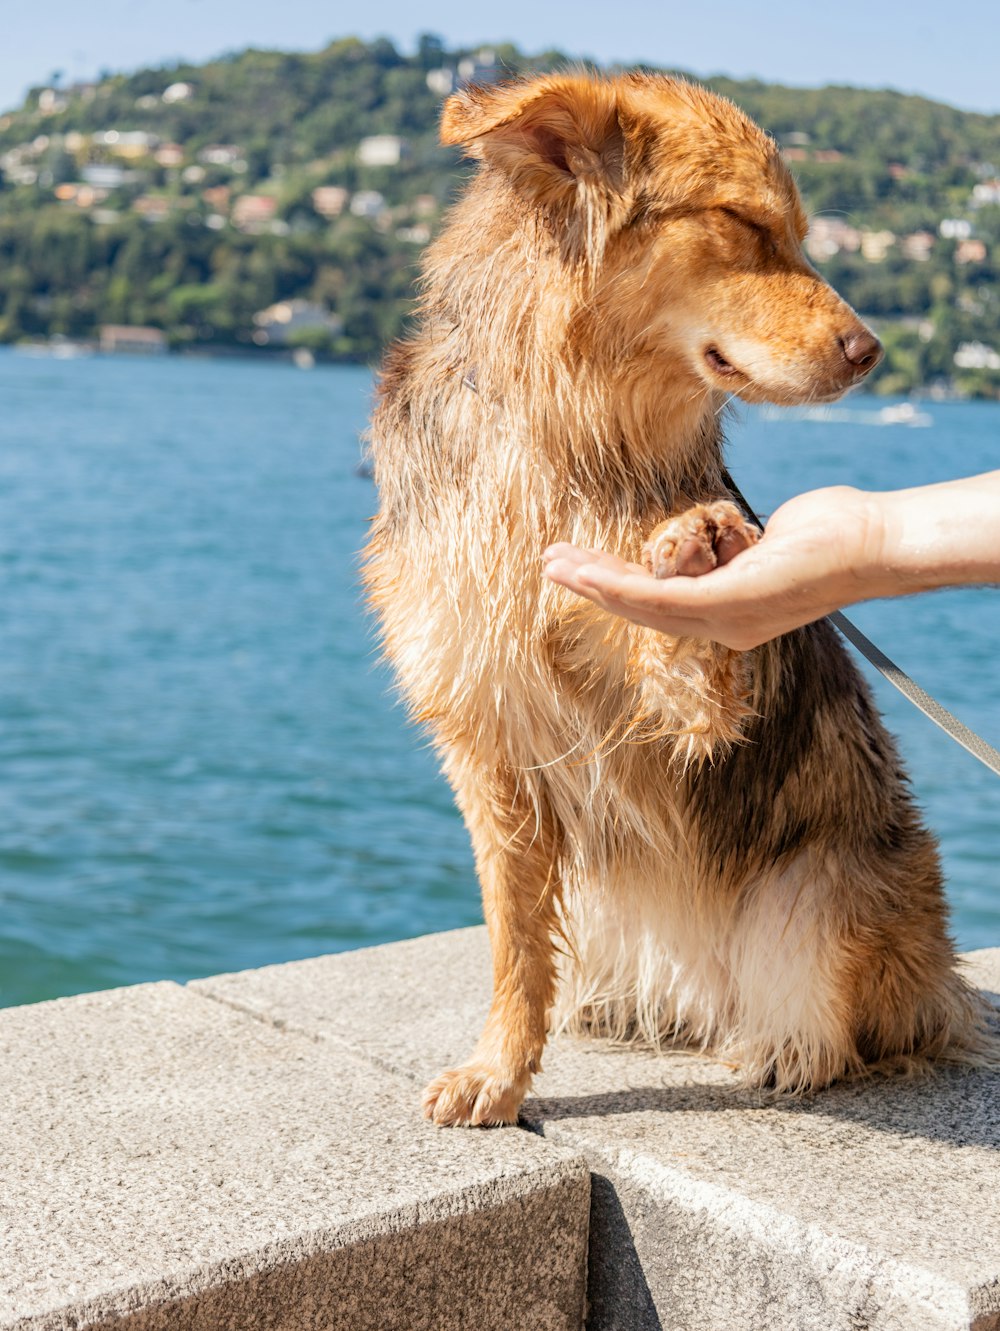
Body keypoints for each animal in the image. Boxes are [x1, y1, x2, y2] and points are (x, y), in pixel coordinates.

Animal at [364, 72, 990, 1128]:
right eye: (743, 221)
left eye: (802, 231)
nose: (871, 350)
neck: (569, 433)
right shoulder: (486, 734)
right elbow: (514, 941)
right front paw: (500, 1068)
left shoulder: (681, 711)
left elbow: (687, 666)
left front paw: (689, 557)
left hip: (819, 892)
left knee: (857, 1036)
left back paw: (783, 1048)